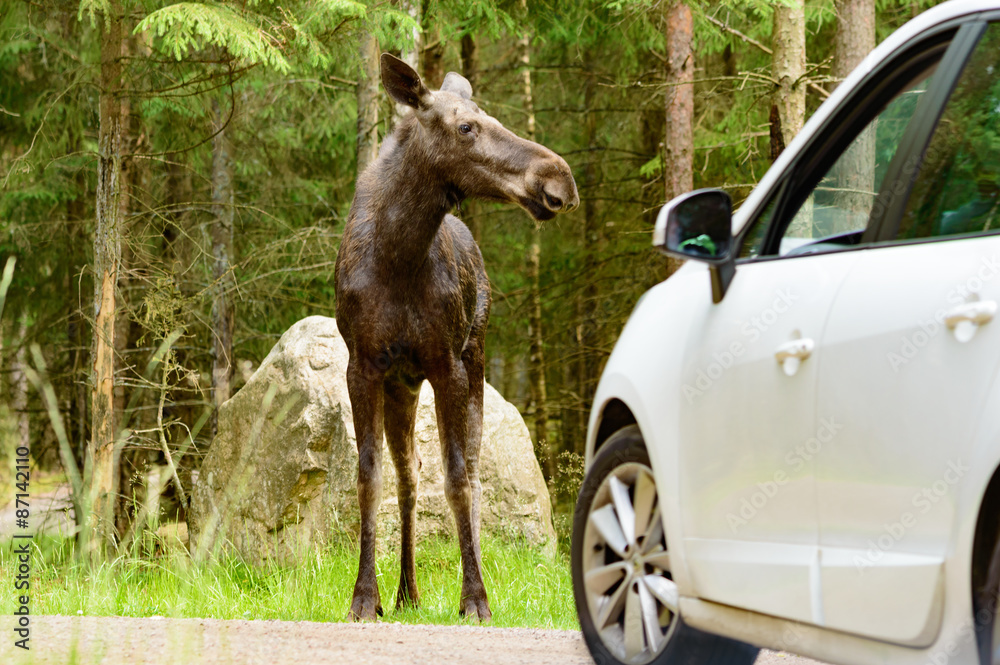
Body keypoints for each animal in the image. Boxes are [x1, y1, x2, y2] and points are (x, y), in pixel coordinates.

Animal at [334, 53, 579, 623]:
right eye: (466, 127)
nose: (559, 177)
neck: (399, 255)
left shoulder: (448, 365)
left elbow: (459, 479)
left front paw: (475, 597)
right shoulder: (363, 366)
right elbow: (369, 478)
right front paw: (365, 597)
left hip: (476, 359)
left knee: (469, 471)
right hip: (403, 384)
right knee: (409, 474)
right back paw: (406, 591)